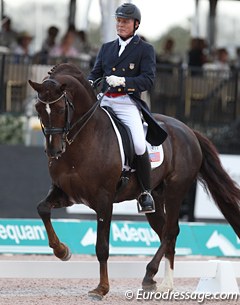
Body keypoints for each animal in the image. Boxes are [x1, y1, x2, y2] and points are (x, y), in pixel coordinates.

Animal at [29, 63, 240, 298]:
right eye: (38, 108)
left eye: (59, 109)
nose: (53, 151)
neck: (82, 140)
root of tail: (188, 130)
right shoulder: (66, 193)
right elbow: (42, 209)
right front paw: (62, 251)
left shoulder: (104, 200)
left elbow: (102, 247)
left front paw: (101, 288)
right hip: (155, 197)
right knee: (165, 231)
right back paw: (161, 282)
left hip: (175, 191)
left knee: (170, 231)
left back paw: (154, 277)